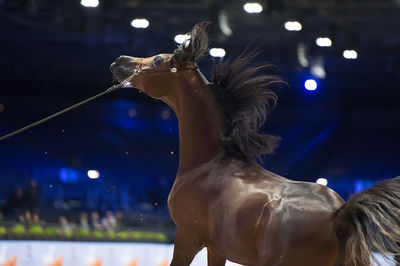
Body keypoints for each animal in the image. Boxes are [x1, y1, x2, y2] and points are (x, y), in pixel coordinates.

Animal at [110, 22, 400, 266]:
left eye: (158, 59)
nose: (119, 61)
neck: (210, 163)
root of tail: (339, 214)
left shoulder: (187, 238)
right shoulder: (216, 248)